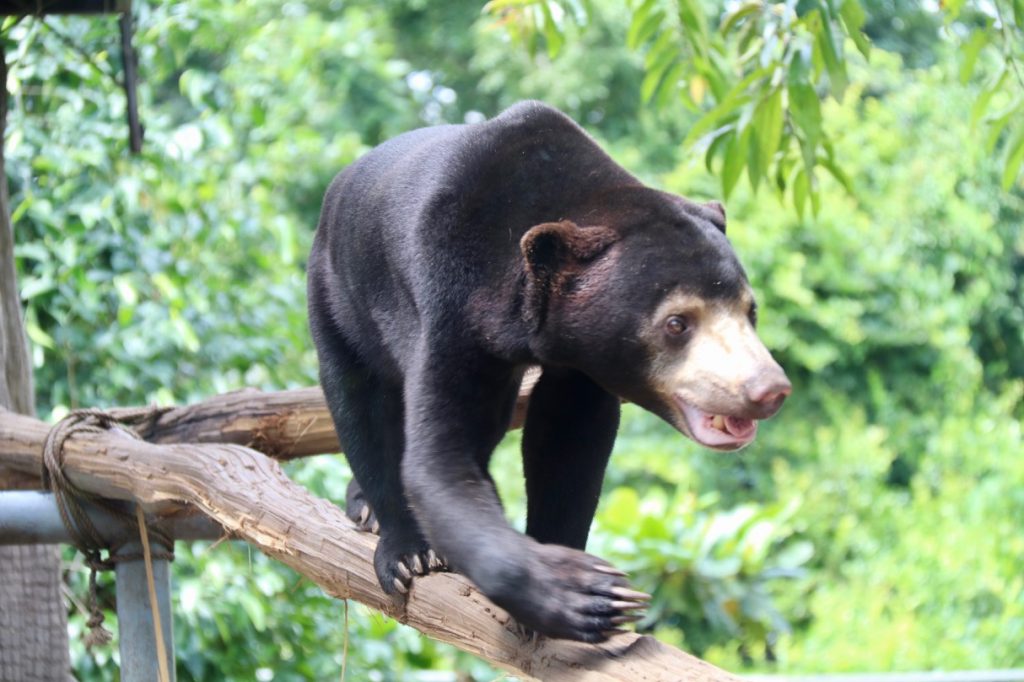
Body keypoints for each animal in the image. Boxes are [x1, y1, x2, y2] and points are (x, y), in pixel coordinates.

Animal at [307, 99, 786, 638]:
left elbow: (569, 444)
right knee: (357, 399)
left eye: (750, 312)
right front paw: (585, 595)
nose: (768, 390)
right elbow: (439, 459)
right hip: (336, 294)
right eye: (677, 323)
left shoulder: (581, 359)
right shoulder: (449, 304)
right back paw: (389, 529)